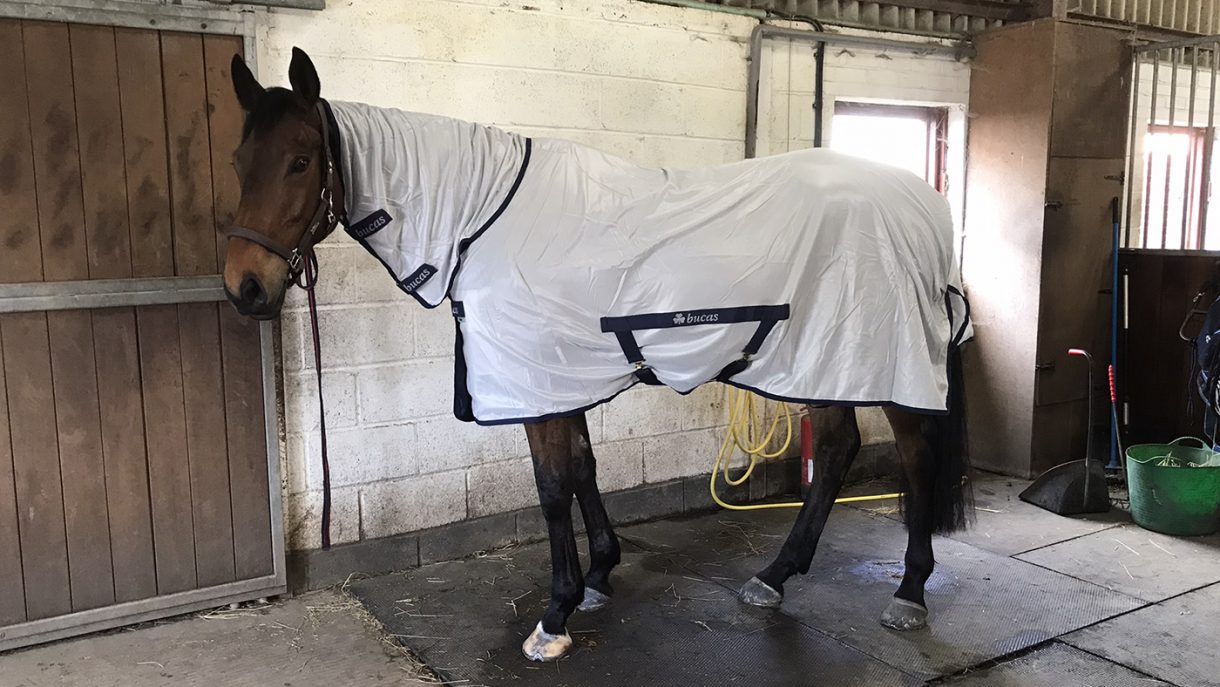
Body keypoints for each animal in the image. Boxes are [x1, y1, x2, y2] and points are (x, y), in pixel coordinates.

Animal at [222, 47, 974, 662]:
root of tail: (924, 205)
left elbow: (553, 485)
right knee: (840, 449)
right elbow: (583, 468)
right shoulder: (563, 374)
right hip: (828, 358)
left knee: (915, 454)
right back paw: (773, 578)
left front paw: (554, 616)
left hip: (886, 360)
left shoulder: (536, 380)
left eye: (300, 161)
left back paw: (908, 592)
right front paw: (598, 576)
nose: (244, 287)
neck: (481, 219)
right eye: (237, 162)